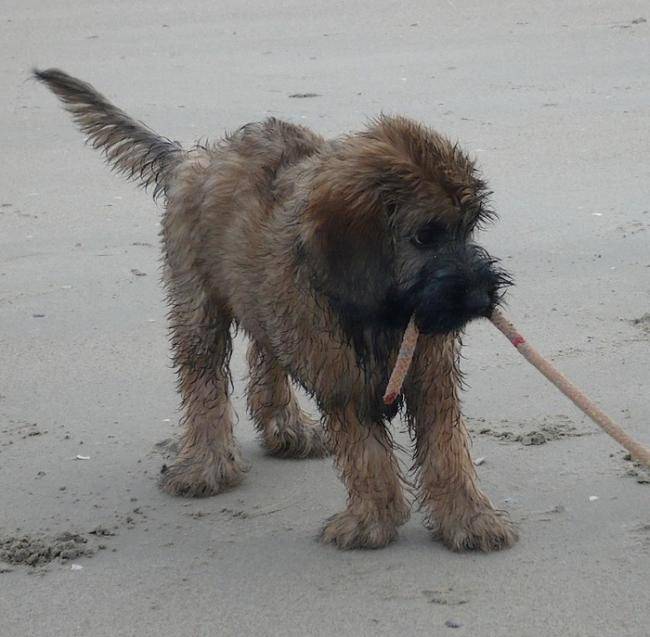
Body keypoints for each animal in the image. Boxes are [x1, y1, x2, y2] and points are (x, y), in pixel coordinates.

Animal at [34, 67, 516, 548]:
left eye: (468, 228)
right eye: (424, 236)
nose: (482, 298)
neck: (384, 310)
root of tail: (197, 159)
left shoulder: (430, 372)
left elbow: (447, 448)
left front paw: (469, 518)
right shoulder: (342, 377)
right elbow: (366, 452)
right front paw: (373, 520)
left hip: (267, 299)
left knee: (265, 351)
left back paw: (285, 426)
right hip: (198, 306)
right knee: (203, 380)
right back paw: (207, 464)